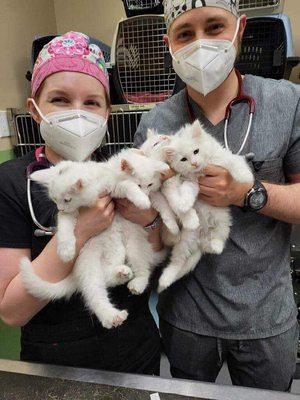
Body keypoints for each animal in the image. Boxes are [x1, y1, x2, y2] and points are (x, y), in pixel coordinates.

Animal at [19, 152, 168, 330]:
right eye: (54, 199)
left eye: (67, 199)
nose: (60, 208)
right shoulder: (71, 214)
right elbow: (65, 226)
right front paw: (66, 250)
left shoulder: (112, 189)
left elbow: (126, 185)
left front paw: (142, 200)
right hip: (89, 265)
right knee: (97, 291)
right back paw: (111, 314)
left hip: (132, 246)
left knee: (139, 270)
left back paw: (132, 280)